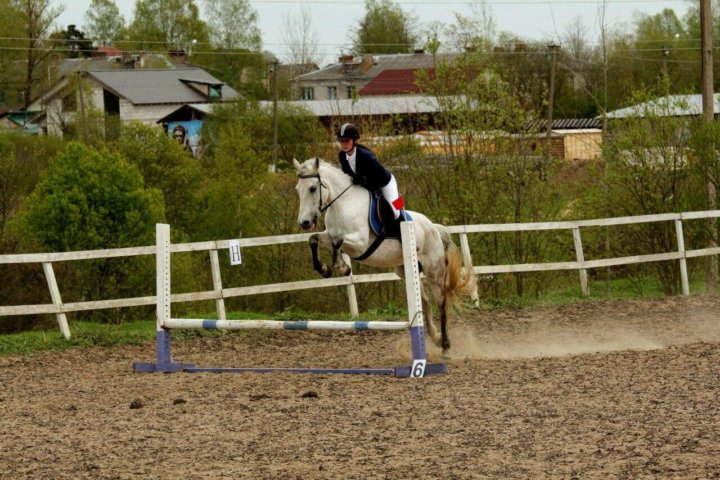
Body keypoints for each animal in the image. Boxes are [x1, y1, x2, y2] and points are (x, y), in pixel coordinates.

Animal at [293, 157, 475, 356]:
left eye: (312, 188)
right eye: (298, 189)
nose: (304, 223)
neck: (342, 204)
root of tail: (433, 227)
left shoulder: (360, 244)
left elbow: (337, 241)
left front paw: (340, 266)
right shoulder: (330, 235)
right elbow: (315, 239)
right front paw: (326, 269)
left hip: (434, 270)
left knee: (441, 302)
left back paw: (445, 346)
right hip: (405, 270)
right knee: (425, 301)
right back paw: (435, 337)